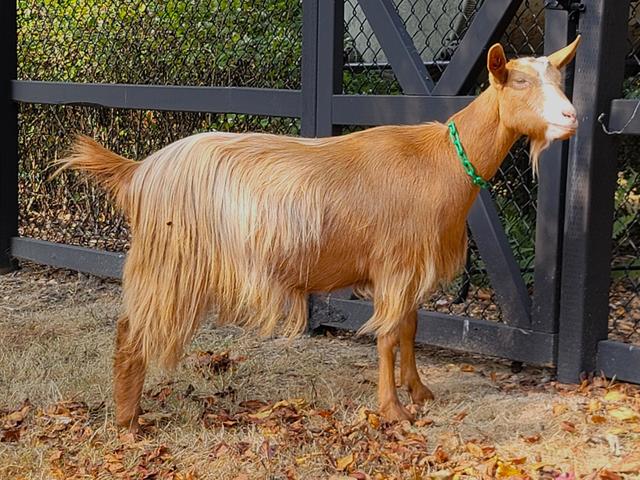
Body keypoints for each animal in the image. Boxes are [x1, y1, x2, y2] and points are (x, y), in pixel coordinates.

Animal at [57, 39, 581, 431]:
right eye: (519, 81)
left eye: (558, 79)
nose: (571, 117)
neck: (439, 160)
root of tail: (140, 171)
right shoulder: (394, 263)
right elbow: (388, 336)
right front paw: (393, 410)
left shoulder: (409, 268)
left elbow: (410, 329)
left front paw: (421, 392)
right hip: (168, 262)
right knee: (131, 330)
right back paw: (128, 422)